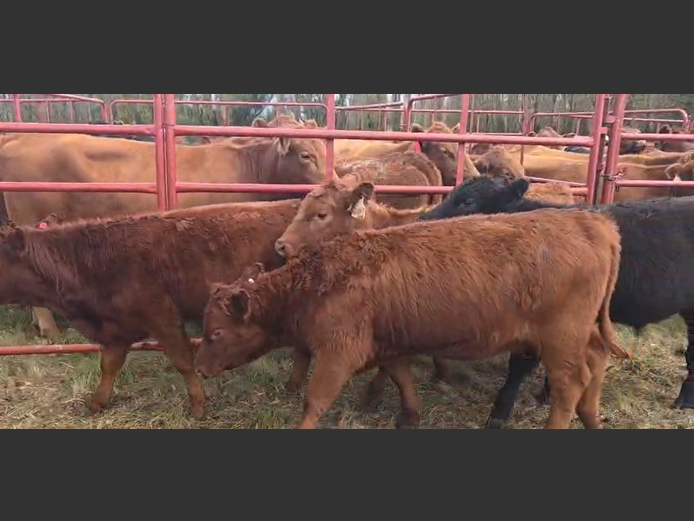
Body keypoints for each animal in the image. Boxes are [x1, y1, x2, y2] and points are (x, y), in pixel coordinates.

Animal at [0, 113, 329, 338]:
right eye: (305, 154)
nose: (331, 181)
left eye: (324, 151)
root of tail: (22, 139)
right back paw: (49, 330)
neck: (248, 167)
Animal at [0, 198, 327, 420]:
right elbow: (109, 365)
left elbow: (183, 361)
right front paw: (97, 402)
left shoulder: (163, 317)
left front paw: (198, 405)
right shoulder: (116, 328)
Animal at [196, 206, 629, 430]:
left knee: (570, 384)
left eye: (215, 332)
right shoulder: (387, 345)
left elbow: (314, 401)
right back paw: (592, 419)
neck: (320, 278)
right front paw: (410, 415)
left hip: (560, 340)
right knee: (596, 362)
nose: (200, 368)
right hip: (582, 334)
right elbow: (401, 377)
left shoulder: (338, 352)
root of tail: (591, 222)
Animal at [419, 175, 694, 428]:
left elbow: (520, 366)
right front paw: (546, 394)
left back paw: (684, 399)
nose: (423, 219)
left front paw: (499, 414)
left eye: (468, 201)